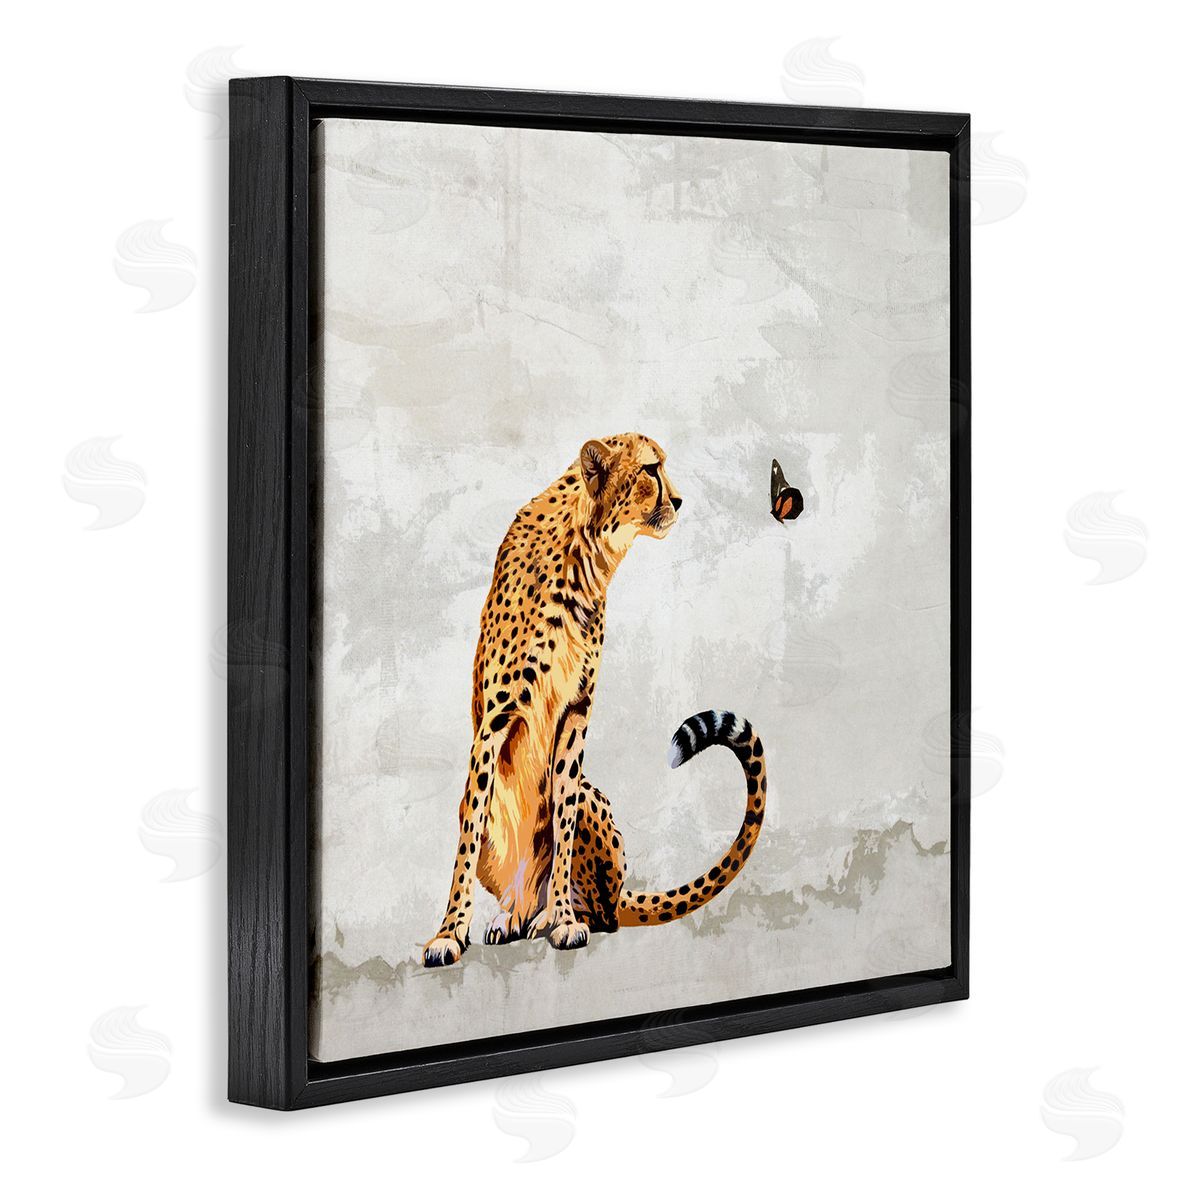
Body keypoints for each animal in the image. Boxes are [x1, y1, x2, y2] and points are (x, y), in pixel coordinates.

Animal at [422, 433, 767, 967]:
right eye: (651, 469)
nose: (680, 500)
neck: (586, 555)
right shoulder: (494, 723)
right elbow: (468, 833)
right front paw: (448, 932)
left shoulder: (576, 713)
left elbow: (561, 822)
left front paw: (563, 919)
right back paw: (510, 917)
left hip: (593, 803)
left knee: (602, 910)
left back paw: (547, 914)